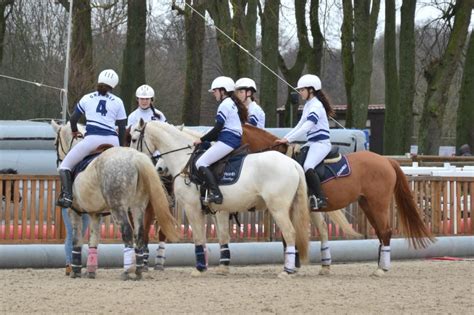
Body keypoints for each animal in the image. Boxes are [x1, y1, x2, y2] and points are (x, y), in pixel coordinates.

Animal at [51, 121, 179, 282]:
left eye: (55, 143)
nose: (58, 163)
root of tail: (135, 158)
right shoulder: (95, 213)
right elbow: (94, 240)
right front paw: (91, 271)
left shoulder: (74, 211)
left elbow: (76, 240)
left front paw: (76, 271)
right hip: (138, 207)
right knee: (139, 234)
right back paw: (138, 270)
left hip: (118, 208)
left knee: (127, 232)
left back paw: (127, 271)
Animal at [131, 120, 312, 278]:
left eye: (133, 139)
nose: (159, 168)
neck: (185, 159)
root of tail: (292, 163)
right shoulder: (216, 210)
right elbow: (219, 237)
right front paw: (216, 267)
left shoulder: (192, 208)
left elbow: (199, 237)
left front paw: (199, 268)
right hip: (288, 208)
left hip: (278, 208)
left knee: (289, 233)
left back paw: (287, 271)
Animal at [241, 123, 436, 276]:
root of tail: (387, 161)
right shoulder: (309, 209)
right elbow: (320, 232)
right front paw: (320, 266)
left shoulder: (288, 207)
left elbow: (288, 235)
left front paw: (292, 265)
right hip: (367, 204)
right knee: (381, 232)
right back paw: (380, 264)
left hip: (378, 204)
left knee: (386, 231)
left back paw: (382, 268)